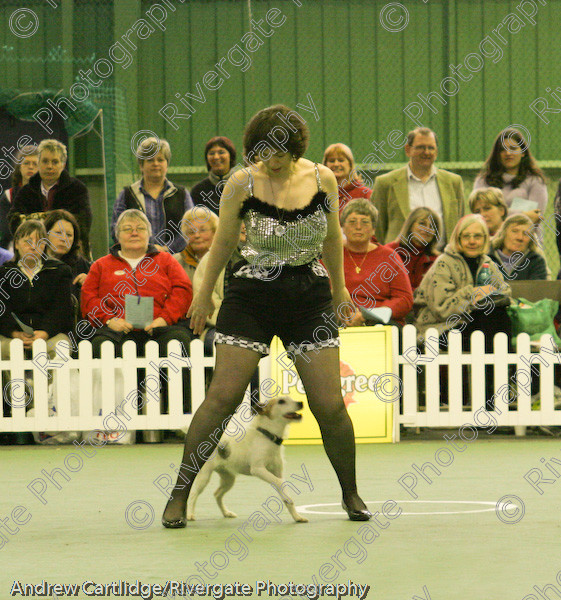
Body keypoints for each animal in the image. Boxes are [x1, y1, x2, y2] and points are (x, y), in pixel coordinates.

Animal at [187, 396, 306, 524]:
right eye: (281, 402)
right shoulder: (258, 469)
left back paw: (226, 513)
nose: (301, 403)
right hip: (204, 477)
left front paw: (297, 516)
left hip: (228, 479)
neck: (267, 436)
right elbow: (279, 482)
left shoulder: (277, 472)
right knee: (193, 494)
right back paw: (190, 514)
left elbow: (285, 494)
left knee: (217, 494)